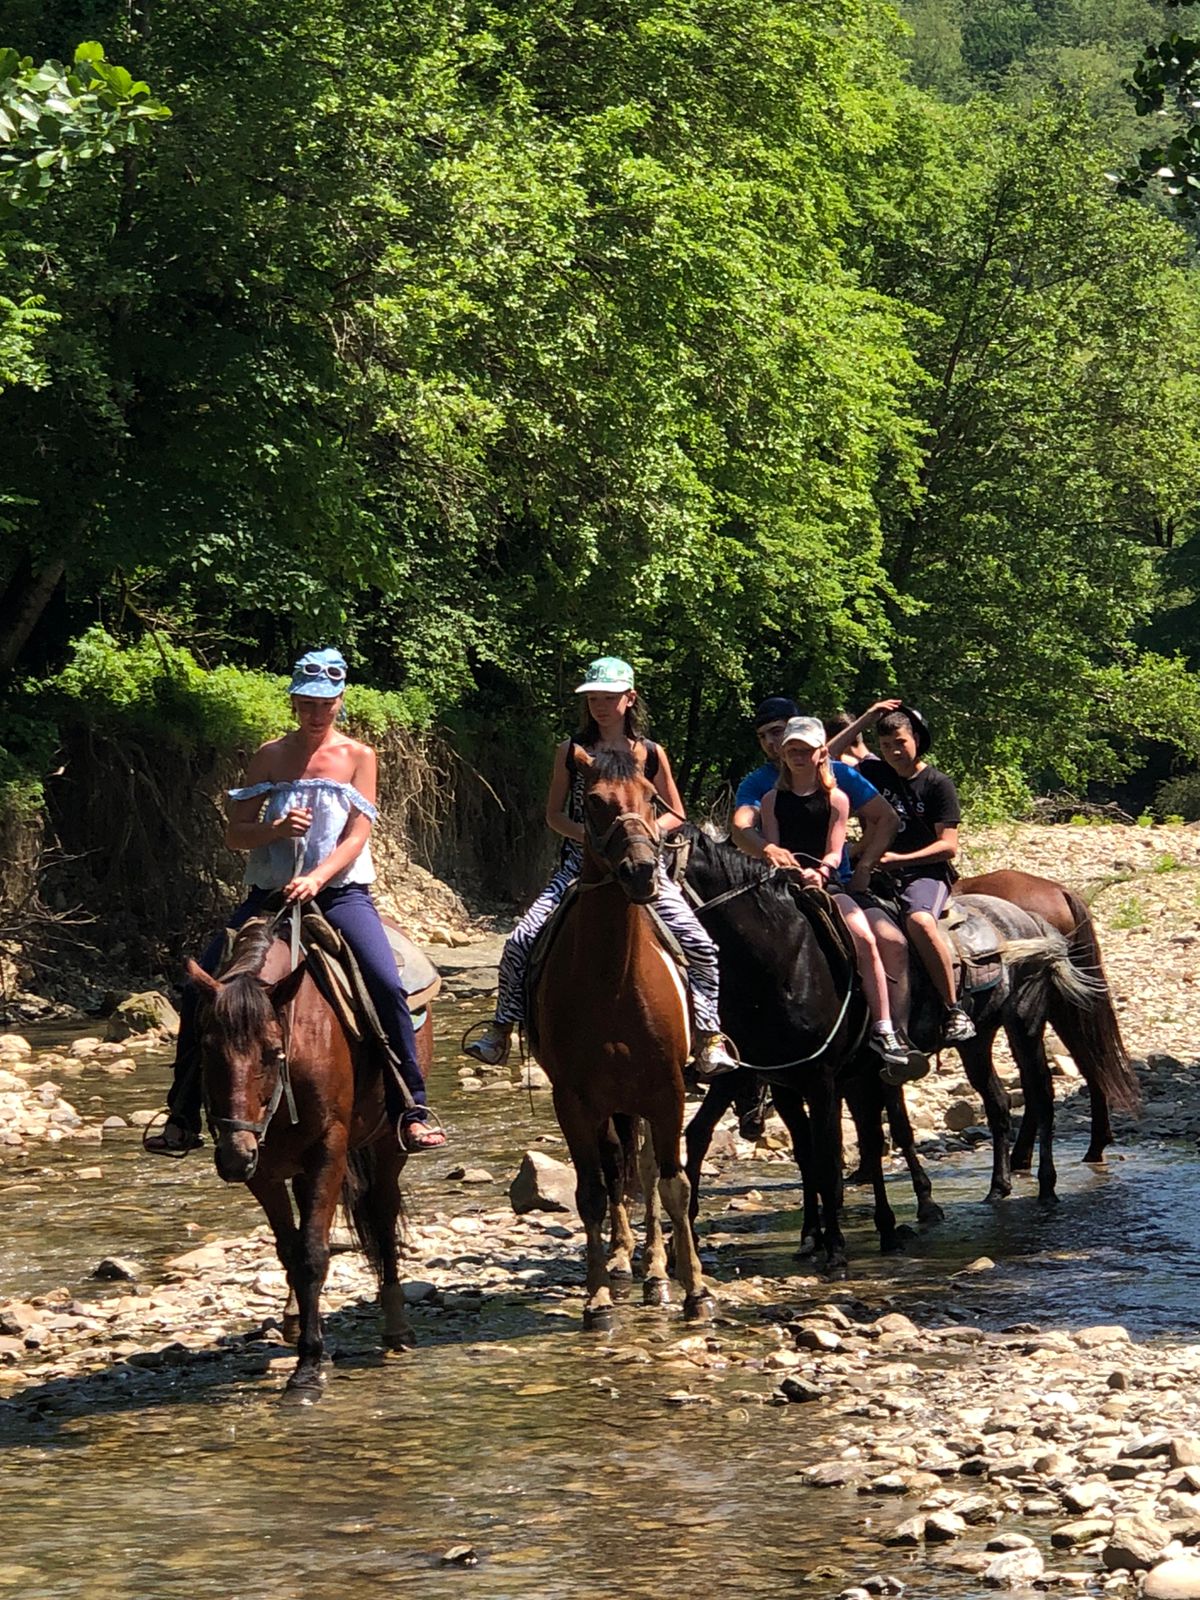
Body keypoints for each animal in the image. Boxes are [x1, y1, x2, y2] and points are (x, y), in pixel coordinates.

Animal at [187, 921, 422, 1395]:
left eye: (272, 1051)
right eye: (205, 1048)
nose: (234, 1157)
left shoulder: (328, 1148)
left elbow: (313, 1254)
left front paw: (309, 1365)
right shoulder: (264, 1169)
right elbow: (290, 1250)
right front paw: (306, 1337)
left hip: (387, 1145)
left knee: (384, 1217)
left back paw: (396, 1327)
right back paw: (295, 1316)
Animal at [540, 748, 720, 1324]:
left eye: (651, 797)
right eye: (594, 802)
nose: (641, 870)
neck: (613, 982)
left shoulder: (667, 1090)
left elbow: (674, 1184)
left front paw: (694, 1288)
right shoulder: (573, 1101)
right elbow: (593, 1193)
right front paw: (597, 1298)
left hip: (638, 1098)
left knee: (640, 1169)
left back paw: (657, 1270)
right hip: (610, 1103)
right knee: (617, 1168)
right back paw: (625, 1260)